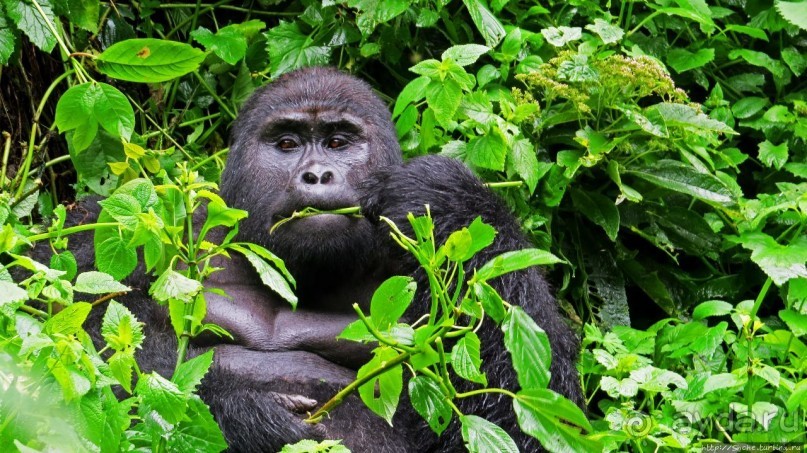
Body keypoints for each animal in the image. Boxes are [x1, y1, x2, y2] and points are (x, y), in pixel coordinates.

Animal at [42, 65, 580, 450]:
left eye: (339, 142)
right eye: (287, 143)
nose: (318, 174)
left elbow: (525, 417)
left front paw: (449, 197)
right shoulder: (115, 226)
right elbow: (71, 367)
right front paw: (247, 417)